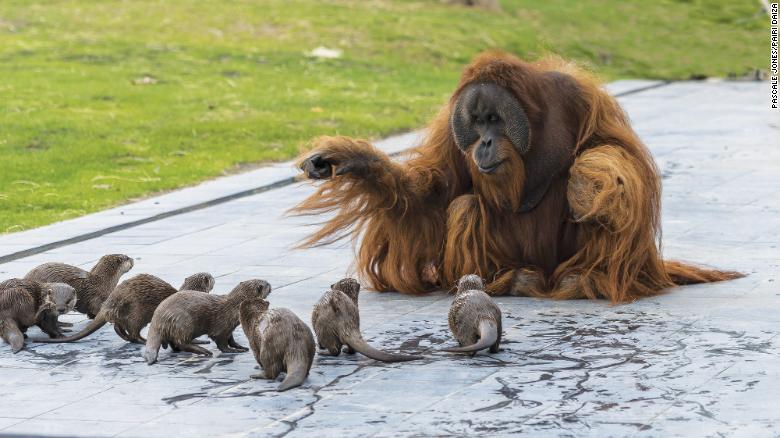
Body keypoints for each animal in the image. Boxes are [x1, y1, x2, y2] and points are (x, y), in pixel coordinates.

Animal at [30, 272, 215, 344]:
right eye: (210, 278)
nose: (213, 277)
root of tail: (110, 302)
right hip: (137, 312)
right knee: (133, 331)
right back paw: (142, 340)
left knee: (119, 327)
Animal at [144, 278, 272, 364]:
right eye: (266, 284)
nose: (270, 284)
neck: (234, 308)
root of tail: (158, 317)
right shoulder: (222, 327)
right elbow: (222, 344)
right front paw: (233, 350)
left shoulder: (229, 327)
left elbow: (231, 339)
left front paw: (241, 347)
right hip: (184, 322)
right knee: (182, 342)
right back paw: (204, 351)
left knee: (174, 343)